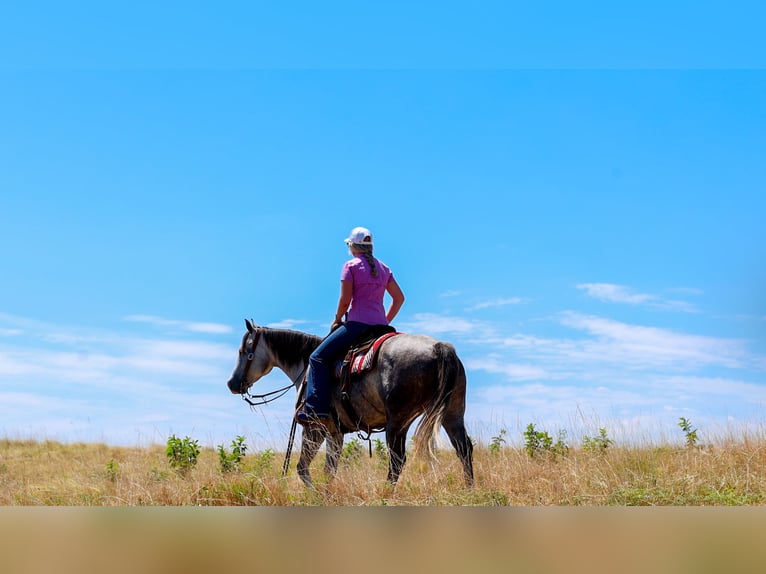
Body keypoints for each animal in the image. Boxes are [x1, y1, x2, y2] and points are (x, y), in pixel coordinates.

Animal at [226, 319, 474, 488]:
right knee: (464, 450)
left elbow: (302, 468)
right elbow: (329, 469)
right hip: (452, 414)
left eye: (243, 351)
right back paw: (469, 490)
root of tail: (439, 347)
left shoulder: (314, 428)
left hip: (398, 422)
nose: (232, 383)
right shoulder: (335, 432)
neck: (306, 366)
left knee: (397, 461)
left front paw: (318, 495)